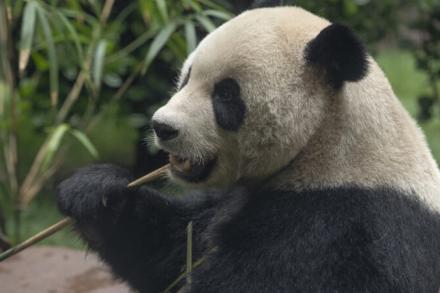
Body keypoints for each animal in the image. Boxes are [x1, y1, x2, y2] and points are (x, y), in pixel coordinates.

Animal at [56, 4, 440, 292]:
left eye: (226, 94)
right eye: (186, 77)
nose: (162, 126)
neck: (326, 145)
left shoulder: (336, 226)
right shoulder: (234, 200)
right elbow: (172, 247)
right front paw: (97, 192)